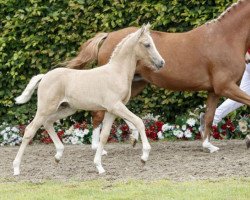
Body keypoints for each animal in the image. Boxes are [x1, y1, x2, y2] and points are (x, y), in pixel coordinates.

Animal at [14, 24, 166, 175]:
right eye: (147, 44)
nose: (161, 63)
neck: (116, 73)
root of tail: (44, 76)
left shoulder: (111, 110)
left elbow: (104, 136)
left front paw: (99, 166)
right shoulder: (116, 106)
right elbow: (139, 122)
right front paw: (144, 157)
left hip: (67, 108)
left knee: (48, 123)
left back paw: (58, 155)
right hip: (45, 108)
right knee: (30, 130)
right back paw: (16, 168)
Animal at [66, 0, 250, 153]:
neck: (224, 38)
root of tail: (109, 36)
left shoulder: (214, 90)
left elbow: (209, 116)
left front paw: (208, 146)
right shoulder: (226, 86)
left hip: (135, 84)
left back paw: (133, 136)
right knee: (99, 112)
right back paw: (98, 147)